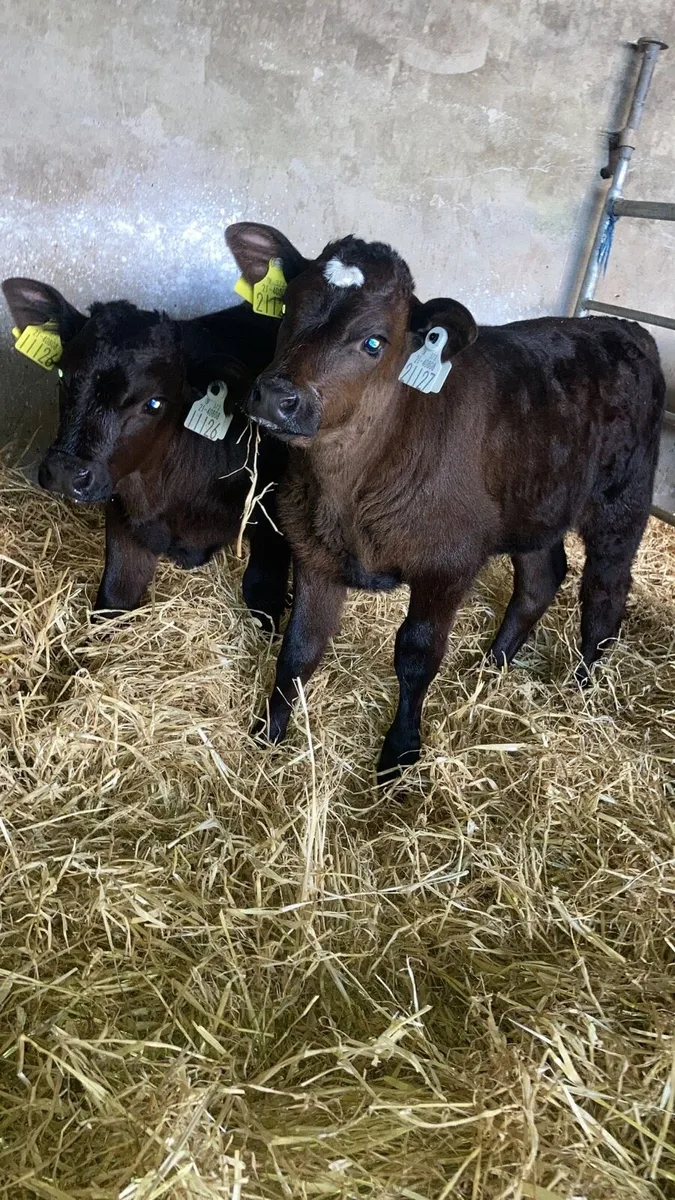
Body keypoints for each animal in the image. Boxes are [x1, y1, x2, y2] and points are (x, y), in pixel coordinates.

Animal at [2, 277, 291, 631]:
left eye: (153, 403)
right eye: (62, 376)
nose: (66, 473)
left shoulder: (273, 525)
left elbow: (262, 595)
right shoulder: (123, 518)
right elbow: (114, 596)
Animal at [225, 221, 665, 780]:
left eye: (374, 341)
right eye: (285, 309)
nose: (276, 396)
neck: (350, 495)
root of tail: (624, 327)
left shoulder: (448, 563)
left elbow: (416, 656)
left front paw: (399, 756)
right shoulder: (314, 550)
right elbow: (300, 647)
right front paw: (267, 735)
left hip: (621, 500)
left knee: (606, 592)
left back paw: (581, 689)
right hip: (533, 504)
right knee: (541, 578)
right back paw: (492, 666)